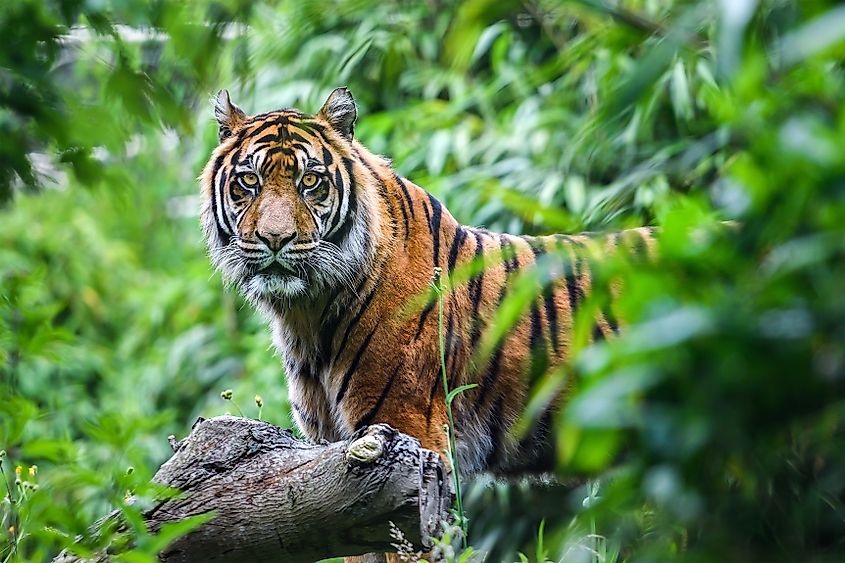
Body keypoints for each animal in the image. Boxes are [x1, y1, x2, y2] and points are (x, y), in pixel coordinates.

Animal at [200, 87, 655, 481]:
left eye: (310, 182)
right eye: (249, 181)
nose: (275, 238)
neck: (306, 312)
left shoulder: (404, 431)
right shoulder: (330, 449)